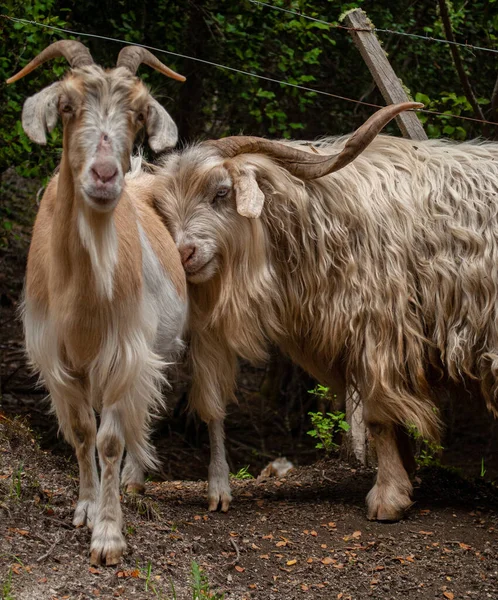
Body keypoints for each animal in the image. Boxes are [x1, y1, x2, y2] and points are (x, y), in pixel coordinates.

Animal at [9, 41, 189, 564]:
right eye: (67, 106)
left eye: (139, 112)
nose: (106, 175)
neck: (81, 299)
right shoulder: (55, 357)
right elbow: (81, 431)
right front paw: (86, 508)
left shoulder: (126, 351)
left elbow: (109, 438)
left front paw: (108, 535)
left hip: (160, 354)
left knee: (142, 415)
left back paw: (132, 480)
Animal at [152, 105, 498, 524]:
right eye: (165, 209)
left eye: (221, 192)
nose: (184, 255)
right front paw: (406, 480)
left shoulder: (379, 330)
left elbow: (379, 415)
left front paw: (388, 497)